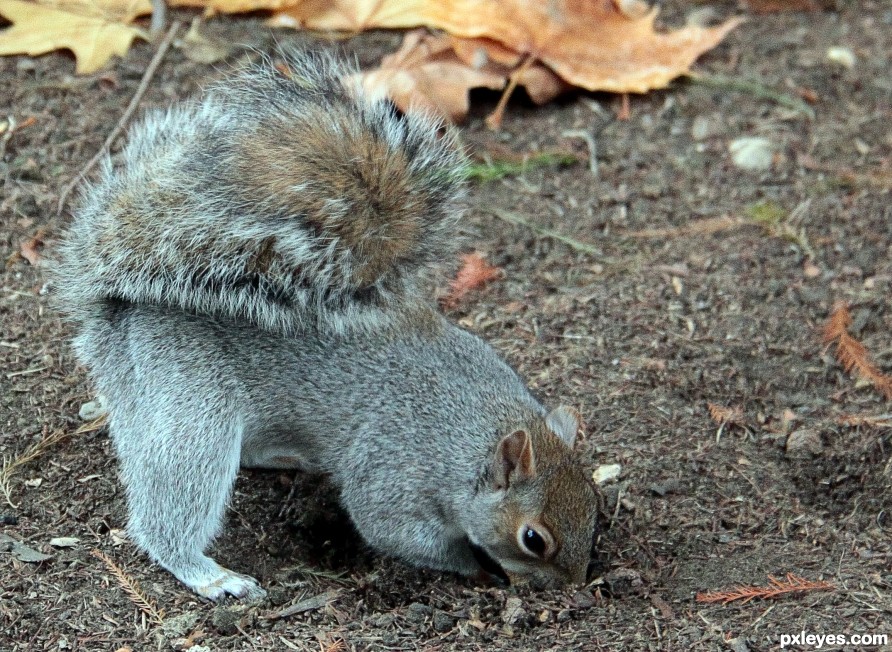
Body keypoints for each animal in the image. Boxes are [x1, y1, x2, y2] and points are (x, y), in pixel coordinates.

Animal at [54, 51, 600, 600]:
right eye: (533, 539)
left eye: (595, 507)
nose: (575, 587)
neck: (475, 429)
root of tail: (119, 310)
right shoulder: (395, 473)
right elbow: (395, 530)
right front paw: (477, 569)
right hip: (190, 399)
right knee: (171, 506)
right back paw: (209, 574)